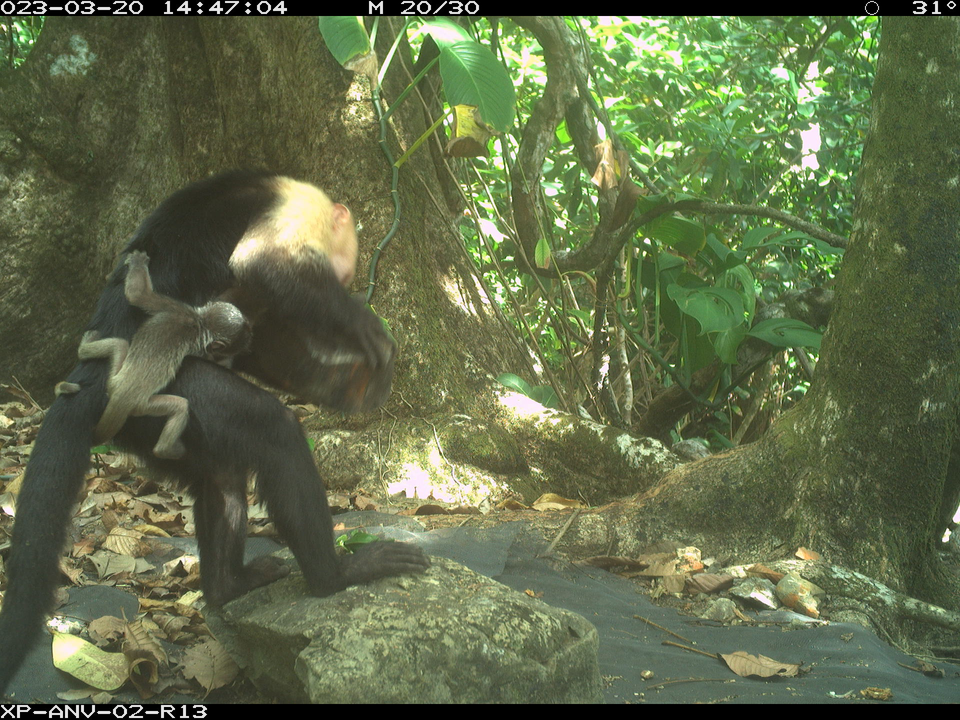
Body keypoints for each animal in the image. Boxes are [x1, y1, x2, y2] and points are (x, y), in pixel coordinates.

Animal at [0, 171, 430, 695]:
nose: (346, 280)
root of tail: (89, 381)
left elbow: (262, 342)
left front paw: (345, 383)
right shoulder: (300, 205)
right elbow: (261, 265)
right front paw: (362, 327)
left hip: (139, 422)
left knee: (220, 472)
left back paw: (229, 585)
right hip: (157, 386)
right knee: (273, 431)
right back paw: (335, 576)